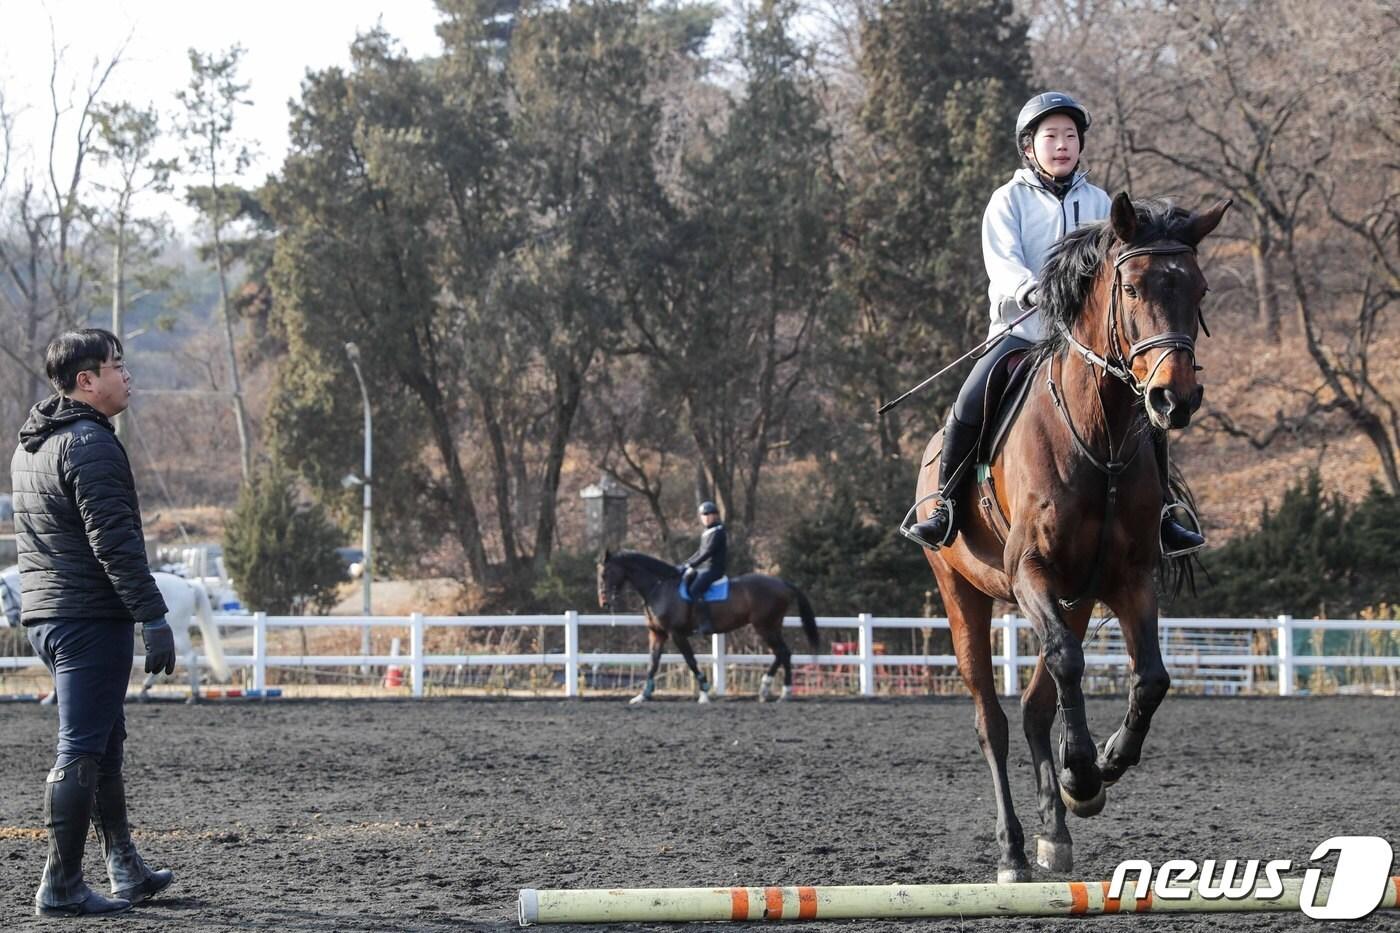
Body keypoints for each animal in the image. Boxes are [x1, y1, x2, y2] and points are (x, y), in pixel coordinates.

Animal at [0, 565, 228, 697]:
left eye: (2, 595)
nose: (11, 621)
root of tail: (188, 584)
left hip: (177, 632)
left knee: (190, 657)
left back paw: (194, 695)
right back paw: (145, 689)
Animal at [593, 549, 817, 700]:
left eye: (605, 574)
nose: (604, 602)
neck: (660, 587)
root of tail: (784, 583)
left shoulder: (676, 634)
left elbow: (690, 660)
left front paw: (704, 692)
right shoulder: (658, 633)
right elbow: (653, 662)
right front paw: (644, 694)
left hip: (764, 627)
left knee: (782, 652)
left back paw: (779, 691)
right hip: (771, 626)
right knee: (783, 653)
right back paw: (772, 690)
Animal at [918, 194, 1237, 879]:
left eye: (1197, 288)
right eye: (1133, 287)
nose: (1175, 399)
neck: (1101, 434)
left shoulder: (1126, 578)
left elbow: (1151, 679)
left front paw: (1101, 768)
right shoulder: (1030, 572)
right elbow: (1068, 661)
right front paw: (1084, 773)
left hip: (1076, 597)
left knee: (1037, 707)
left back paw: (1053, 832)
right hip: (963, 593)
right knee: (992, 719)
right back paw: (1013, 847)